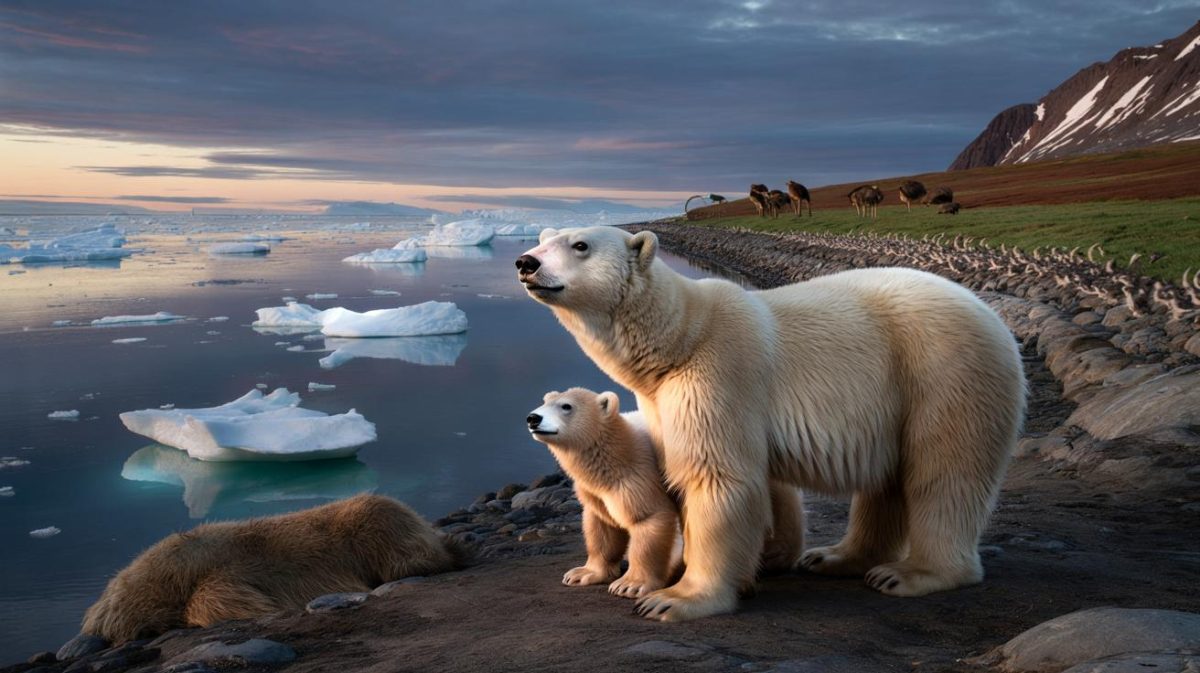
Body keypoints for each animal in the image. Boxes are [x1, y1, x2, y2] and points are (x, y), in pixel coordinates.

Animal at [527, 387, 680, 598]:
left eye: (566, 406)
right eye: (545, 401)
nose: (532, 418)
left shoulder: (641, 476)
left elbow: (648, 518)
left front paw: (629, 585)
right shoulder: (595, 491)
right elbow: (602, 526)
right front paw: (582, 574)